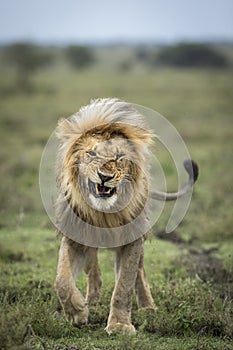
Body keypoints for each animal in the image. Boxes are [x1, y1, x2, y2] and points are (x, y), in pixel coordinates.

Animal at [54, 98, 198, 334]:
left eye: (119, 157)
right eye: (91, 154)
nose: (104, 176)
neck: (103, 213)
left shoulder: (132, 240)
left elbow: (124, 286)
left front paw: (120, 325)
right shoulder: (74, 236)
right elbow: (62, 281)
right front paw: (77, 313)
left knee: (139, 272)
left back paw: (148, 307)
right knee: (92, 265)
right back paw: (92, 299)